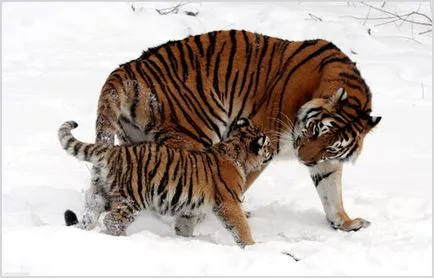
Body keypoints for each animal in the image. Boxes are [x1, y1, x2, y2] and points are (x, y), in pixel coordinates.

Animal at [80, 29, 380, 235]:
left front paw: (345, 223)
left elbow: (331, 191)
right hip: (193, 135)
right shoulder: (263, 138)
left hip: (136, 140)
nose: (304, 160)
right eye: (316, 129)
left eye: (331, 146)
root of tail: (128, 68)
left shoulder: (326, 162)